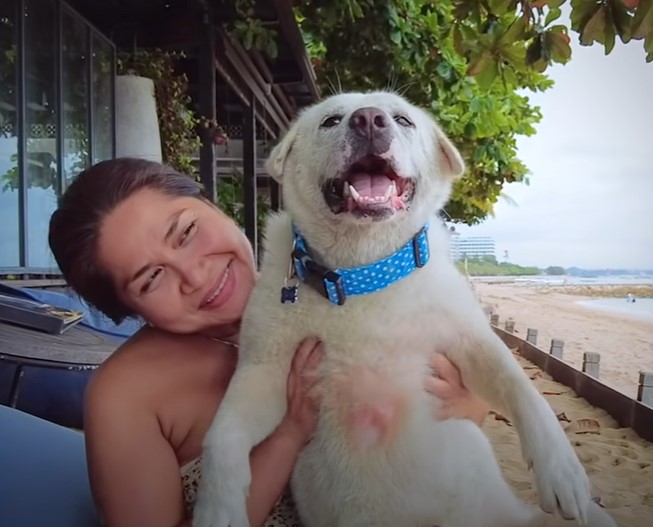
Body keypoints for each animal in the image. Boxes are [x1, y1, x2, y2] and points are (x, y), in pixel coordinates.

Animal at [194, 92, 616, 527]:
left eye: (402, 120)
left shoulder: (473, 343)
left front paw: (561, 470)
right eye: (330, 121)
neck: (363, 274)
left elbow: (525, 391)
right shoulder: (264, 370)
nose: (368, 120)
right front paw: (218, 507)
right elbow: (221, 436)